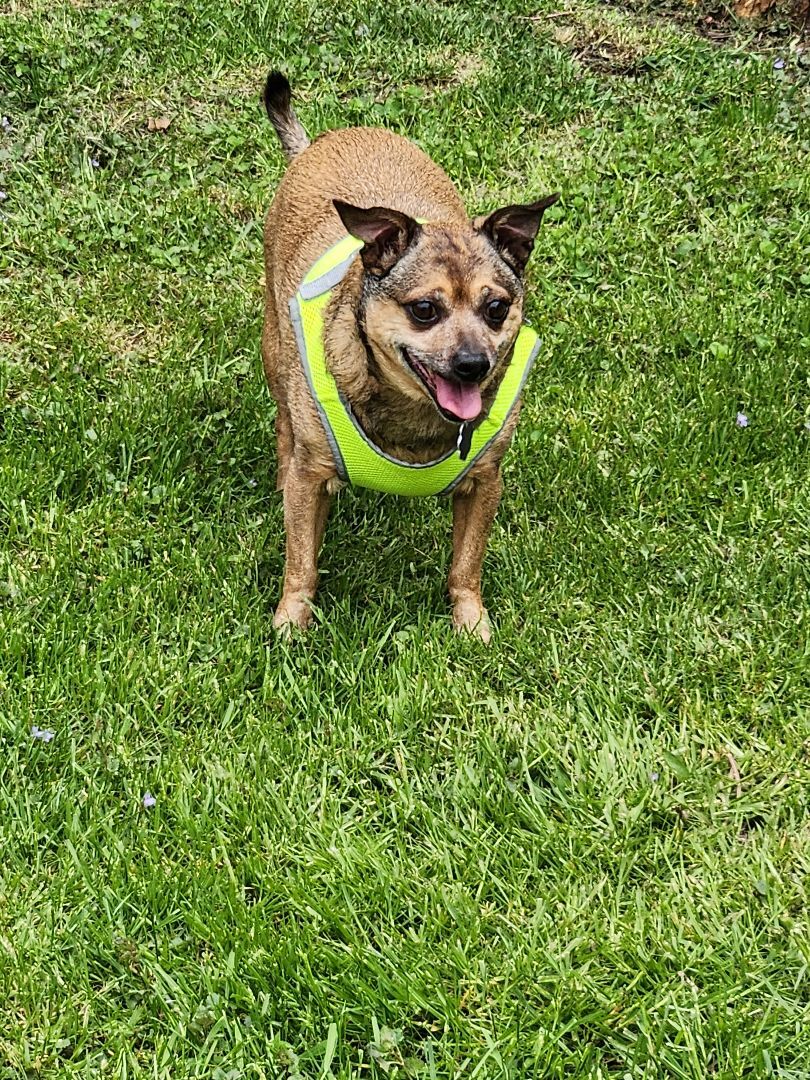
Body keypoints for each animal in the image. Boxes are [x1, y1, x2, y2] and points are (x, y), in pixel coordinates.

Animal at [260, 71, 557, 639]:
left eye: (496, 308)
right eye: (424, 309)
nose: (473, 365)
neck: (413, 418)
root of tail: (324, 140)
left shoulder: (484, 484)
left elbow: (466, 565)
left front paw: (470, 621)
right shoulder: (311, 481)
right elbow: (300, 561)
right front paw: (292, 621)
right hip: (274, 348)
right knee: (285, 423)